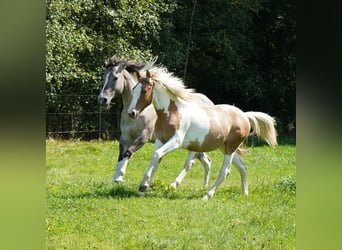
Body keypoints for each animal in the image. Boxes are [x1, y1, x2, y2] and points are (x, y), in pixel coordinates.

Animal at [97, 56, 214, 186]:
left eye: (115, 78)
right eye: (103, 77)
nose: (102, 99)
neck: (140, 112)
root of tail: (210, 103)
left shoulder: (144, 136)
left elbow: (128, 152)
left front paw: (119, 178)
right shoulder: (125, 137)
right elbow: (121, 156)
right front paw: (116, 179)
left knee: (190, 162)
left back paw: (176, 184)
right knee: (207, 161)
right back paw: (205, 186)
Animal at [127, 66, 278, 199]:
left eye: (144, 90)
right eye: (134, 89)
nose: (131, 113)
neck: (173, 112)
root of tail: (244, 116)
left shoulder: (176, 141)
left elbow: (156, 155)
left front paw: (143, 186)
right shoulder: (161, 140)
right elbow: (156, 159)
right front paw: (143, 189)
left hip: (230, 148)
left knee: (225, 171)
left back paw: (207, 195)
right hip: (226, 147)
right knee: (242, 166)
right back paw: (244, 193)